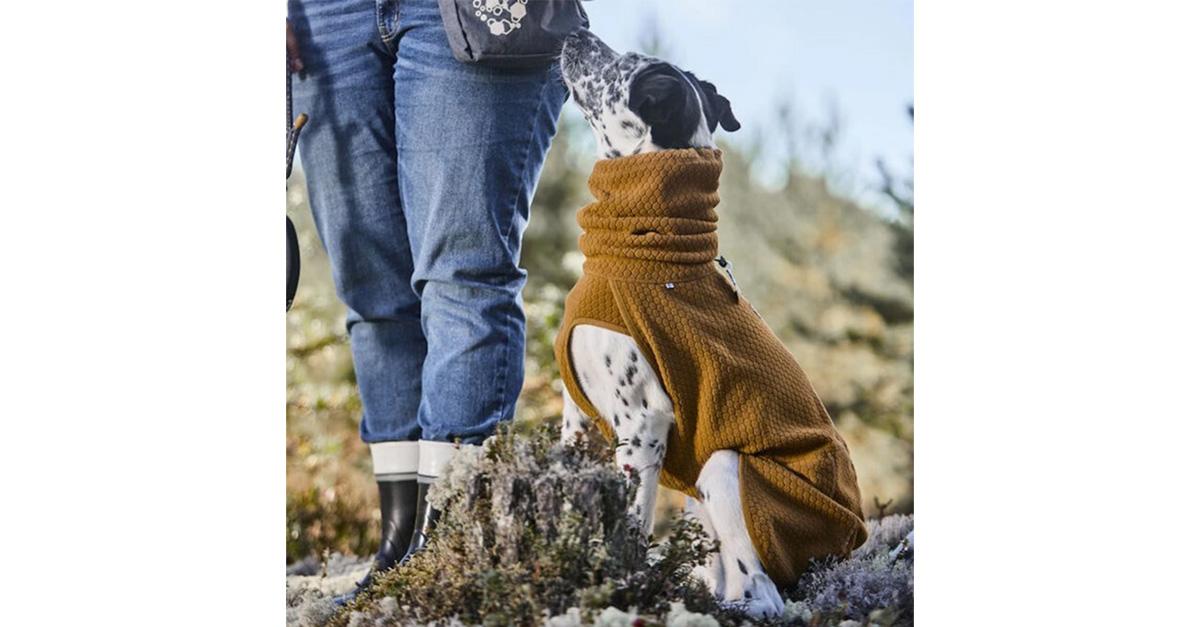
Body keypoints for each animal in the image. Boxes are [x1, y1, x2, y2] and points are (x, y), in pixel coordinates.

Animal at [556, 28, 868, 614]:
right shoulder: (576, 418)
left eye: (625, 65)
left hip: (725, 469)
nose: (576, 32)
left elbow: (629, 528)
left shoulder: (642, 425)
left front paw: (619, 587)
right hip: (697, 502)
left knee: (763, 592)